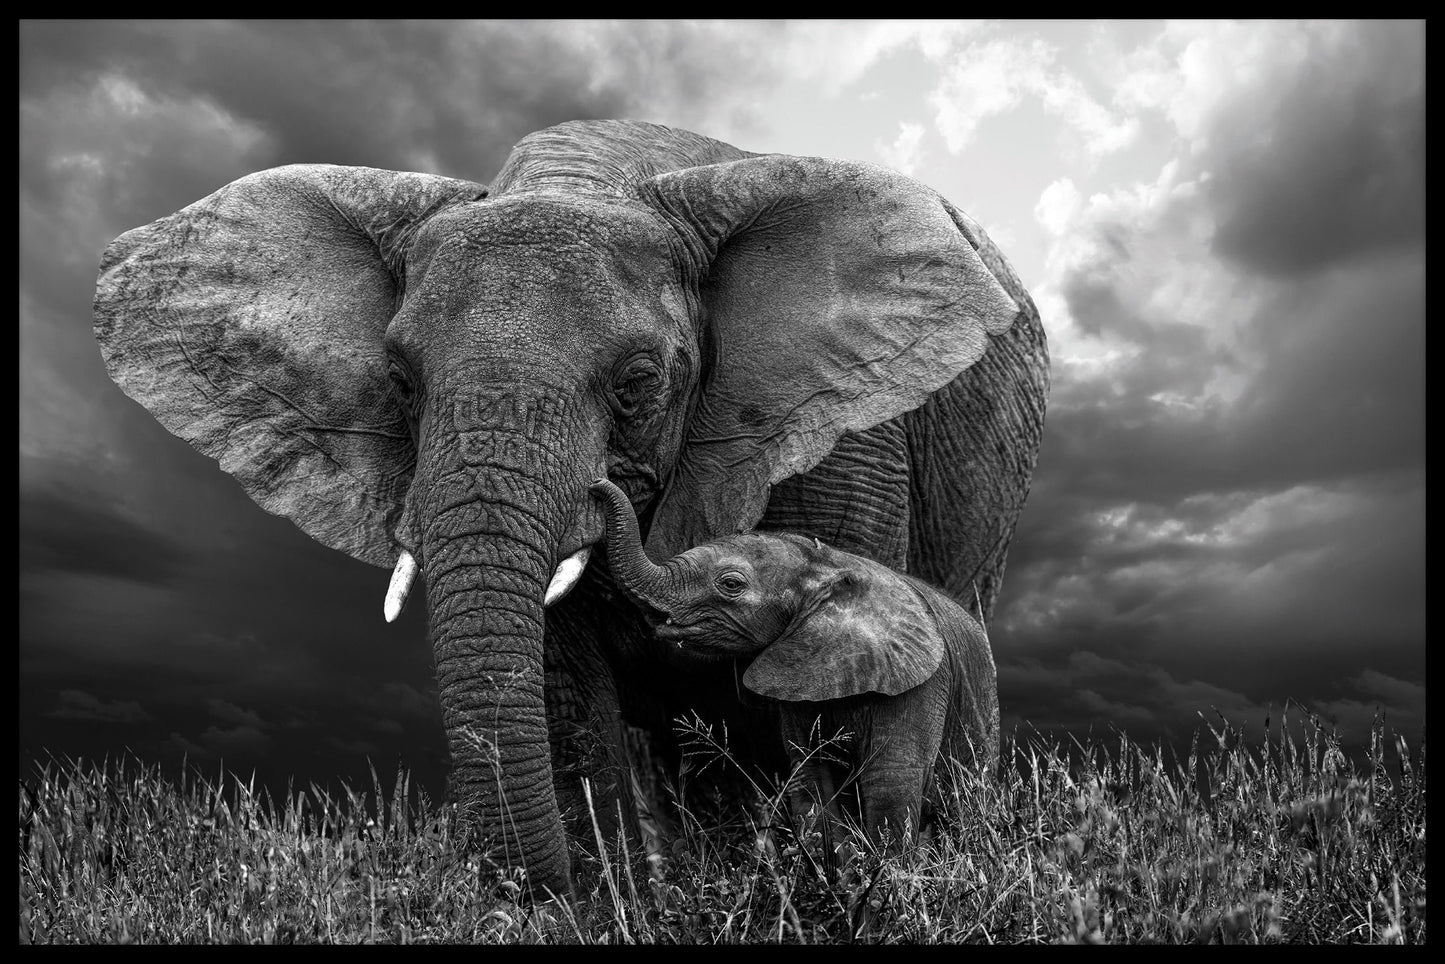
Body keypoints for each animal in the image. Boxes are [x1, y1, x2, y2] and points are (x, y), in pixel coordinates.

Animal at [590, 477, 998, 847]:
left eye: (731, 584)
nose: (596, 485)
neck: (827, 565)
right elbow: (811, 781)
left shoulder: (918, 685)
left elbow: (890, 783)